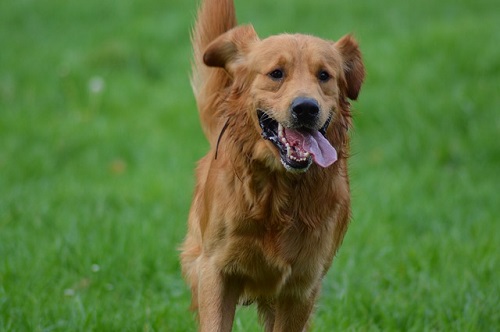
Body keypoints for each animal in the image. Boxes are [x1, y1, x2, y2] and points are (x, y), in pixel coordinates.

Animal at [180, 0, 364, 330]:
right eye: (276, 73)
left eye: (324, 75)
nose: (306, 108)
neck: (277, 192)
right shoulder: (215, 272)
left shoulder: (301, 287)